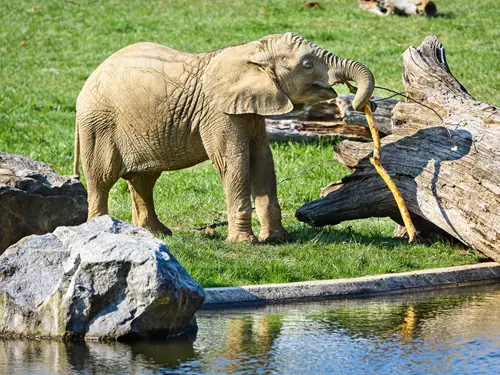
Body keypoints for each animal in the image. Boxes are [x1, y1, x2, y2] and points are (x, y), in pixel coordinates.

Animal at [72, 31, 374, 244]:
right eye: (308, 65)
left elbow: (263, 161)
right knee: (102, 178)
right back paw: (101, 231)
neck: (251, 50)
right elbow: (234, 161)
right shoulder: (218, 113)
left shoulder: (250, 109)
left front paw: (278, 239)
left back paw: (157, 234)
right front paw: (245, 243)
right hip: (98, 124)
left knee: (143, 180)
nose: (356, 103)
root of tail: (88, 81)